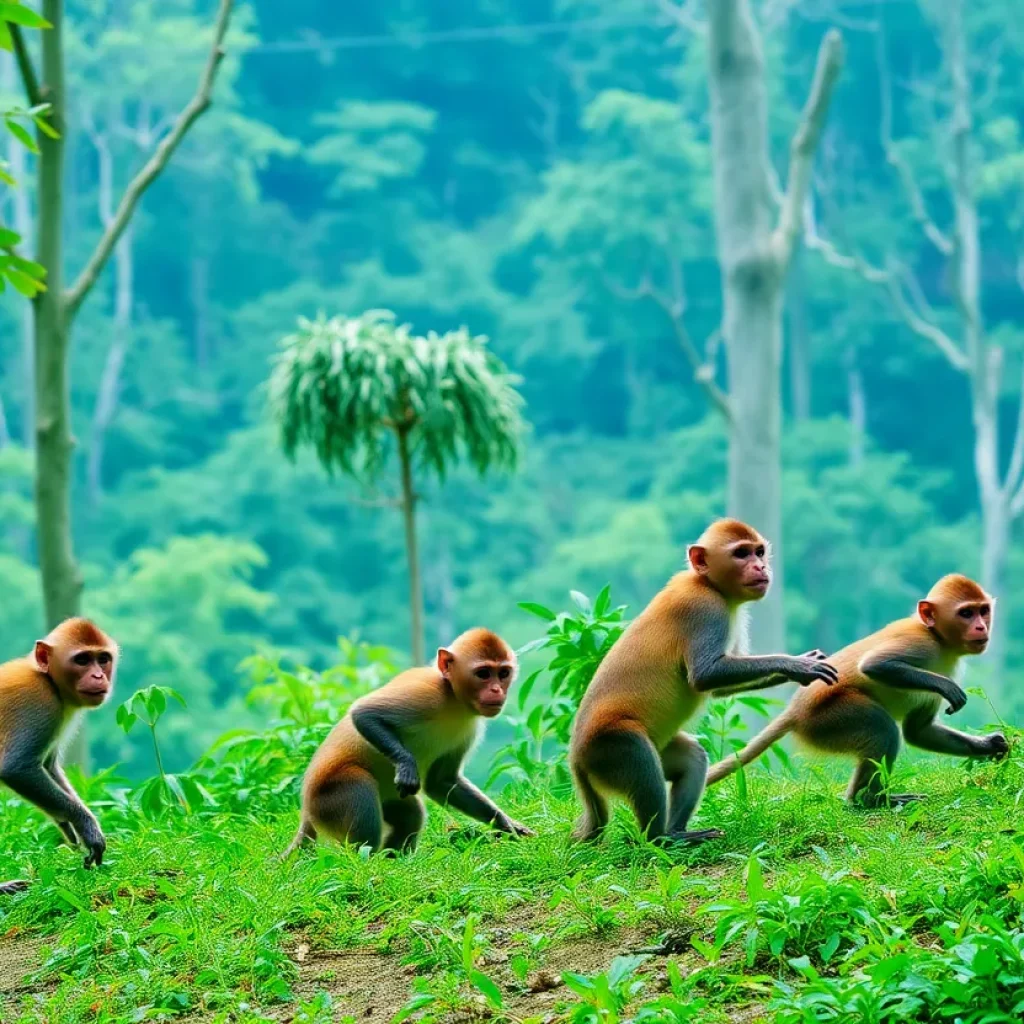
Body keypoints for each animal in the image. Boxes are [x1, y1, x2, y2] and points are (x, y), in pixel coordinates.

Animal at [0, 618, 117, 892]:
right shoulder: (41, 704)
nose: (98, 676)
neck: (47, 679)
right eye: (82, 660)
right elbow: (17, 768)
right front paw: (86, 827)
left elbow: (48, 765)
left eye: (103, 659)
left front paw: (67, 823)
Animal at [284, 622, 532, 856]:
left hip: (384, 798)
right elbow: (364, 714)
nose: (497, 690)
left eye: (503, 673)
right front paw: (406, 764)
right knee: (360, 787)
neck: (453, 698)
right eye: (483, 673)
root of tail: (306, 811)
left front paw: (507, 825)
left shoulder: (469, 729)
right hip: (331, 797)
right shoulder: (426, 692)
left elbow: (441, 782)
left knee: (411, 815)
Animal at [569, 520, 839, 847]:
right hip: (610, 748)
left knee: (692, 758)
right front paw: (796, 664)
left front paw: (800, 670)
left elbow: (718, 688)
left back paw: (678, 832)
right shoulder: (705, 609)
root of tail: (577, 761)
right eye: (741, 553)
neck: (706, 583)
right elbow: (704, 675)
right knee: (641, 759)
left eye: (759, 552)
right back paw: (662, 839)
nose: (761, 566)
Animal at [704, 573, 1007, 802]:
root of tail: (795, 710)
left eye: (983, 611)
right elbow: (875, 665)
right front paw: (946, 687)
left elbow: (919, 732)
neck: (940, 640)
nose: (981, 627)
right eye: (966, 613)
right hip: (828, 719)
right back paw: (871, 800)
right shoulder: (922, 643)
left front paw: (991, 745)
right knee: (882, 728)